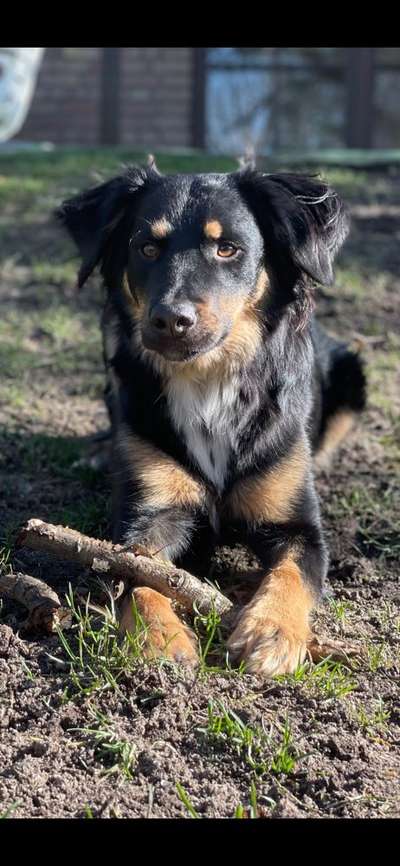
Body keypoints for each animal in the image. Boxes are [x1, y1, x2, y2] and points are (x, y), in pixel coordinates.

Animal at [56, 160, 366, 676]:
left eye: (228, 248)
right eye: (146, 247)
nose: (169, 320)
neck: (208, 382)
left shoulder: (299, 527)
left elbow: (291, 574)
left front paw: (271, 631)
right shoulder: (147, 514)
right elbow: (140, 571)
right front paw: (159, 637)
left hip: (352, 375)